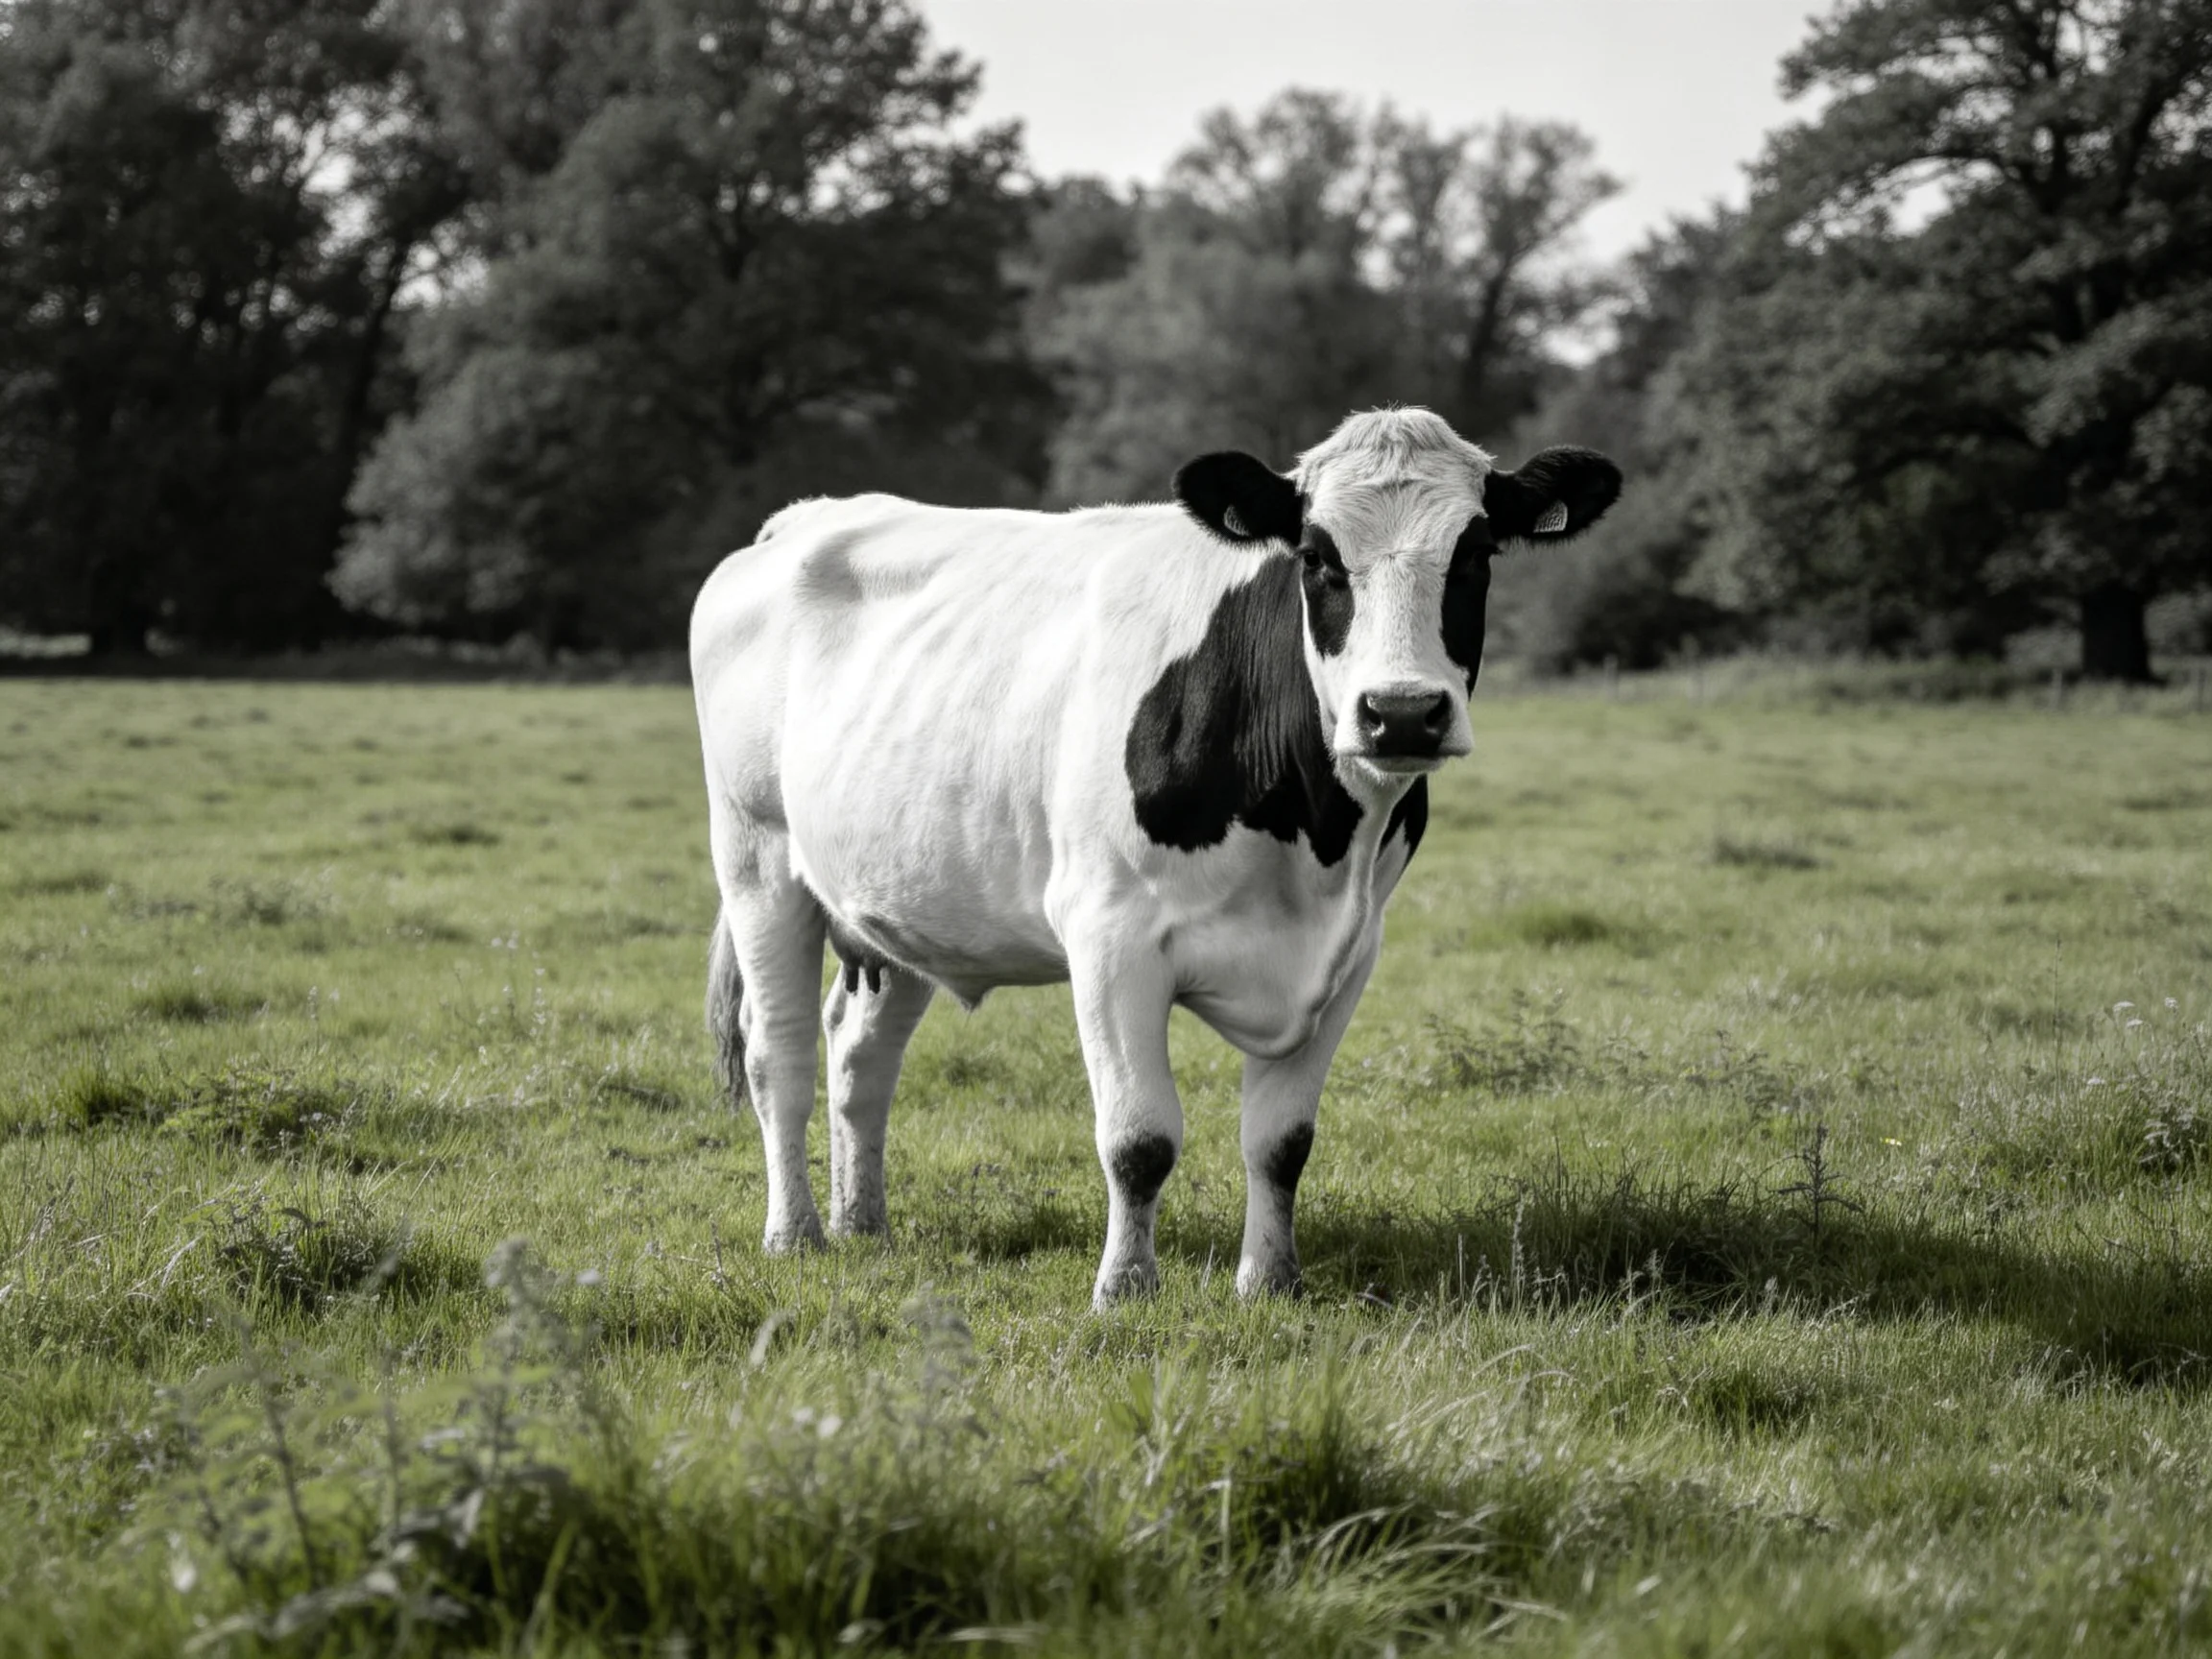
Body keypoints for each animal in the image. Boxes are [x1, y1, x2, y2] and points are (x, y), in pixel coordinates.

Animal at [689, 407, 1619, 1307]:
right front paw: (1126, 1287)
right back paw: (795, 1234)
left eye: (1477, 554)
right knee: (779, 1054)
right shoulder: (1111, 937)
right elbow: (1139, 1138)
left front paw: (1270, 1283)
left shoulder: (1349, 950)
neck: (1305, 838)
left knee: (860, 1055)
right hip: (756, 856)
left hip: (900, 903)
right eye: (1317, 557)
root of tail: (803, 518)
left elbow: (1282, 1142)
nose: (1400, 713)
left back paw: (863, 1224)